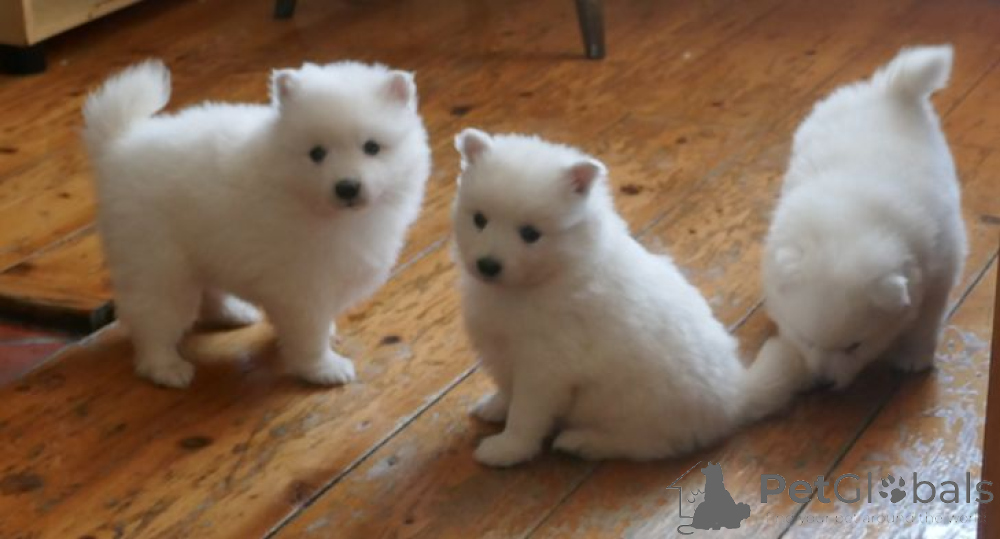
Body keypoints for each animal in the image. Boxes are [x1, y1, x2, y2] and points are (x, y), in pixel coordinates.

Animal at [83, 60, 430, 388]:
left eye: (372, 147)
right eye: (317, 153)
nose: (346, 187)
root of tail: (118, 145)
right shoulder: (302, 285)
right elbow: (309, 333)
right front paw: (323, 368)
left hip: (203, 248)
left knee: (207, 291)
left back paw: (233, 312)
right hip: (159, 264)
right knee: (152, 320)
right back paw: (165, 368)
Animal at [451, 129, 807, 466]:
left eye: (529, 234)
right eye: (479, 219)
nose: (487, 265)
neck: (549, 276)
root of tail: (736, 395)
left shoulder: (544, 367)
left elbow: (525, 414)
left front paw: (506, 449)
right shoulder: (502, 350)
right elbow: (506, 388)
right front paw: (494, 407)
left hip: (641, 409)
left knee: (645, 444)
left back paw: (582, 441)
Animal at [759, 45, 966, 389]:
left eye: (855, 346)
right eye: (806, 340)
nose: (823, 383)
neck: (845, 224)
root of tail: (890, 91)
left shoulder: (940, 267)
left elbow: (926, 319)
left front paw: (913, 356)